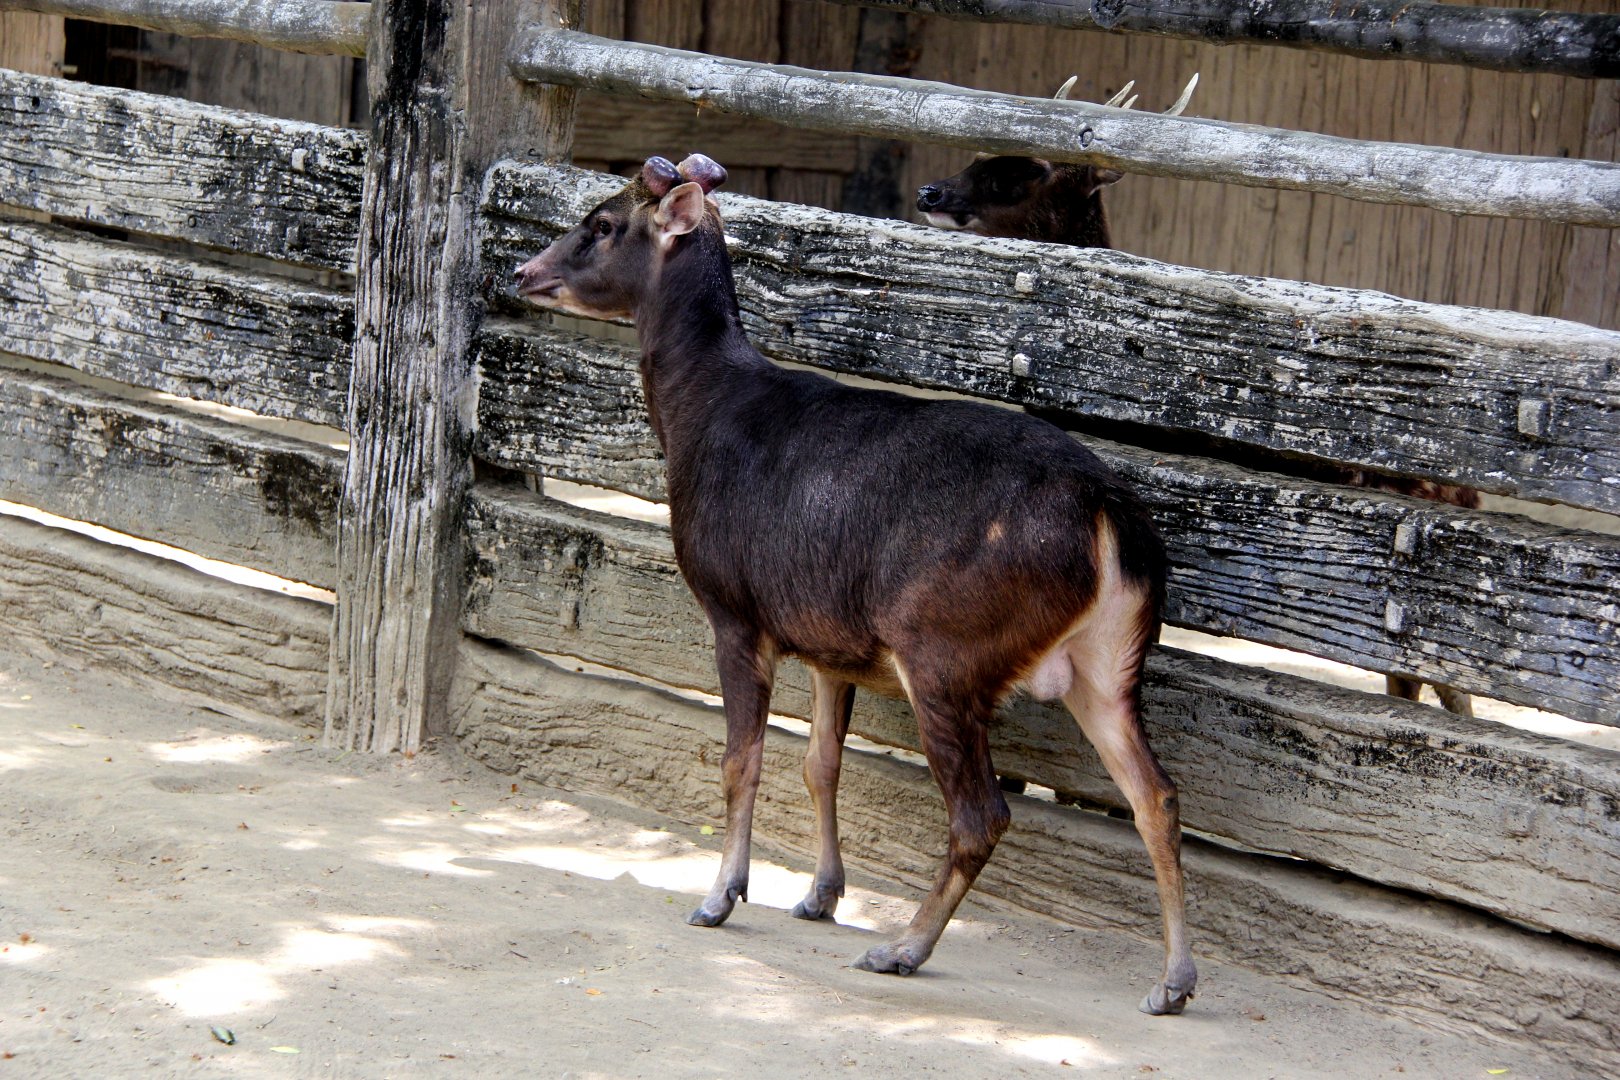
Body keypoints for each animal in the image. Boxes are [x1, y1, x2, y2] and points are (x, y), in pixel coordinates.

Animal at [514, 153, 1197, 1015]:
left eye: (602, 223)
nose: (522, 270)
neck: (700, 414)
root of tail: (1110, 514)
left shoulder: (735, 611)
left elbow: (741, 756)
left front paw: (720, 896)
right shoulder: (826, 640)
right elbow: (820, 763)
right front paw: (818, 893)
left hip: (943, 651)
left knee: (981, 812)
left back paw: (900, 947)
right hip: (1107, 664)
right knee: (1156, 796)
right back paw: (1172, 982)